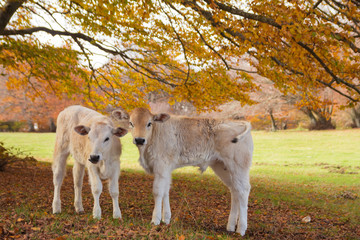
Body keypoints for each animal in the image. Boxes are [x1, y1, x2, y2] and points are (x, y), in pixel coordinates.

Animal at [112, 108, 253, 235]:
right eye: (131, 123)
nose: (139, 140)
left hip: (238, 166)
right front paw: (166, 219)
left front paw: (155, 220)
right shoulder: (166, 169)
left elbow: (158, 192)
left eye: (149, 123)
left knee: (243, 190)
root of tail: (239, 123)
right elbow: (166, 191)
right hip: (221, 166)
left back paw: (241, 229)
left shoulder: (161, 167)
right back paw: (231, 226)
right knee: (234, 190)